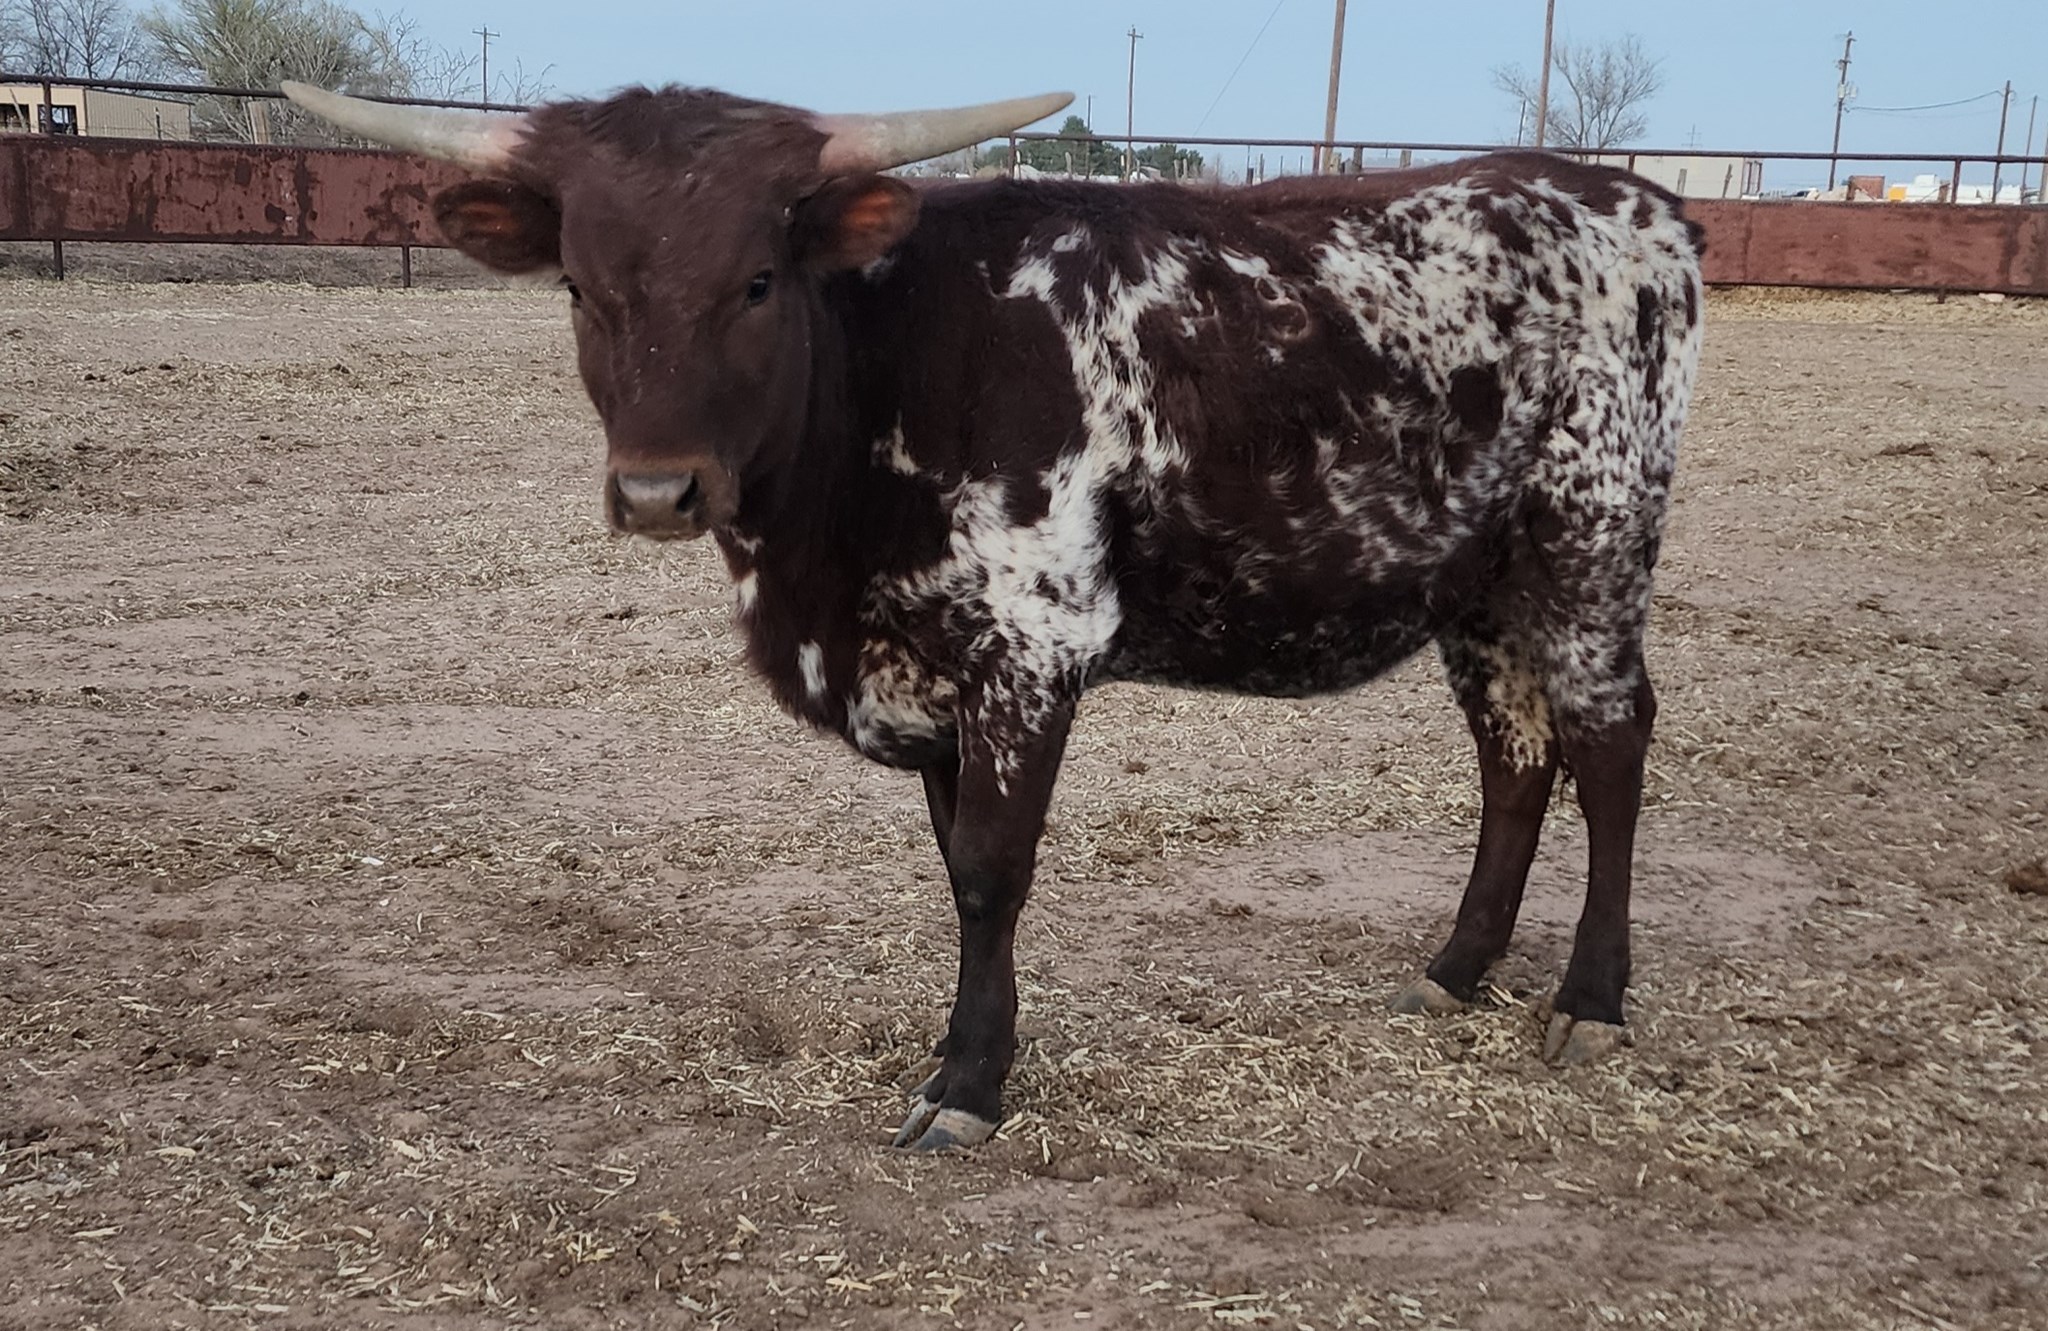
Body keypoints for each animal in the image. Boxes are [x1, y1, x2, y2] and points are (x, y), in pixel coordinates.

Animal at [285, 81, 1705, 1153]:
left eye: (757, 280)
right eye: (580, 286)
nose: (653, 491)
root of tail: (1637, 201)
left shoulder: (1030, 648)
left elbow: (987, 868)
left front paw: (967, 1083)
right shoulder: (927, 670)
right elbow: (950, 863)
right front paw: (964, 1049)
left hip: (1590, 541)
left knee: (1608, 744)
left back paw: (1590, 998)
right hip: (1480, 582)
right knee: (1513, 756)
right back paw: (1454, 966)